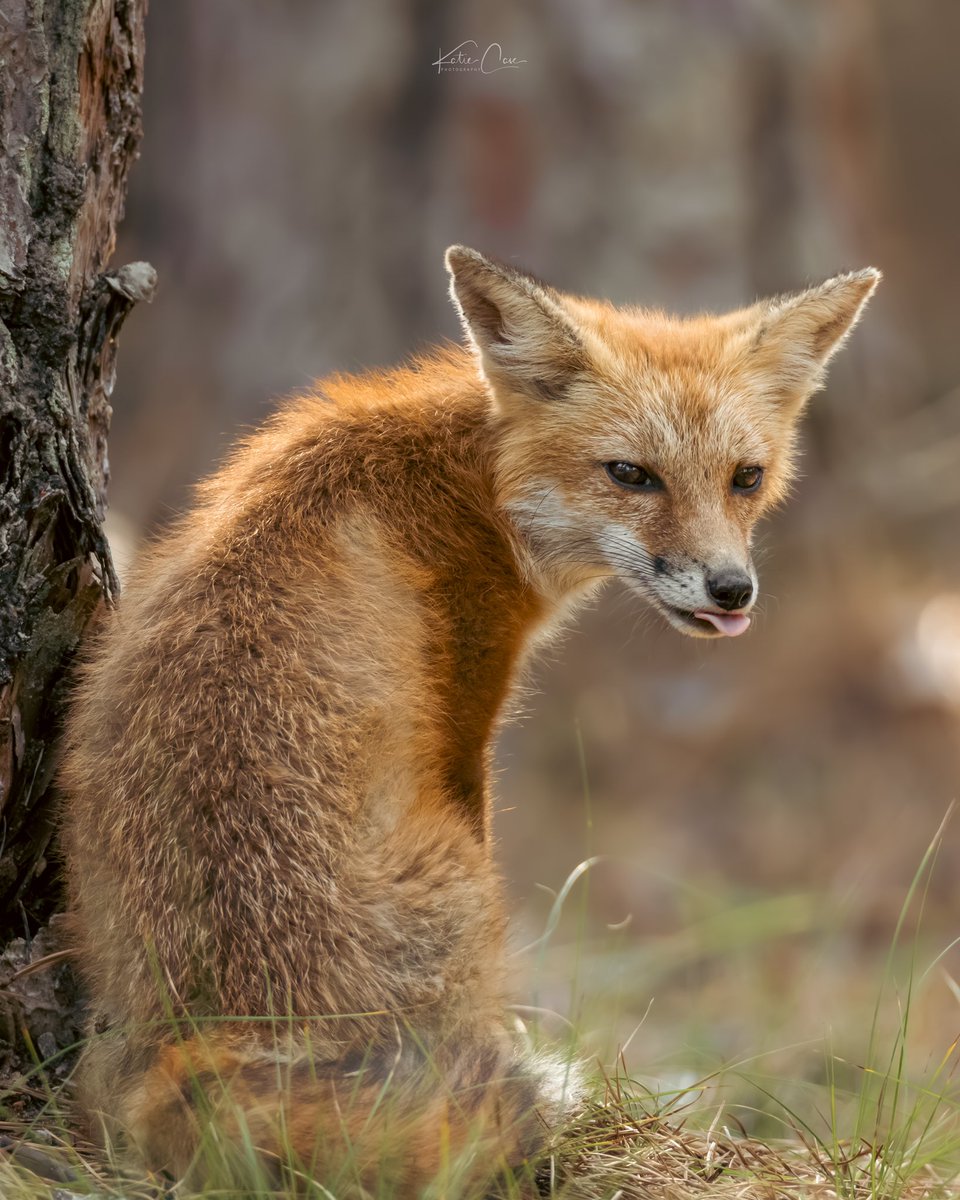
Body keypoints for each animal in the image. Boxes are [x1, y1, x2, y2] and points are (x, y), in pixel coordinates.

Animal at [60, 246, 878, 1190]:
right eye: (630, 474)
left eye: (746, 478)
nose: (731, 589)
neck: (471, 480)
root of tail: (199, 1048)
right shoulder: (465, 709)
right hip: (467, 883)